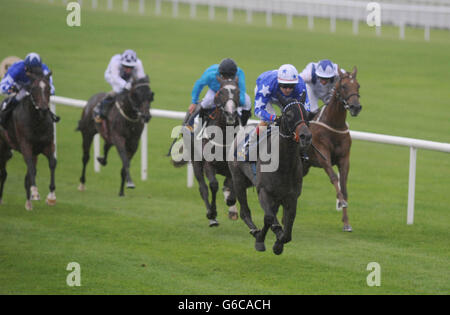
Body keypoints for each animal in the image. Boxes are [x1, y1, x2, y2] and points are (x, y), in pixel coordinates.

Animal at [0, 70, 56, 211]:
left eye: (48, 88)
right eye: (34, 89)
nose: (43, 109)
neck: (37, 122)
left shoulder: (47, 145)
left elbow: (52, 163)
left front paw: (51, 196)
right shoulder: (26, 146)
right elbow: (31, 167)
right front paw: (35, 193)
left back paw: (28, 203)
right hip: (2, 147)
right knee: (3, 173)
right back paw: (1, 198)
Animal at [172, 78, 243, 228]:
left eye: (238, 92)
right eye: (220, 92)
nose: (230, 114)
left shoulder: (232, 167)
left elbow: (231, 186)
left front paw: (231, 206)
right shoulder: (208, 165)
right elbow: (213, 185)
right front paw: (213, 213)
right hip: (196, 164)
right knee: (203, 188)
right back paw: (211, 217)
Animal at [229, 95, 312, 256]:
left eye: (306, 114)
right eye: (288, 114)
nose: (306, 136)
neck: (284, 165)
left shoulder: (291, 197)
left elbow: (287, 231)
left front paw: (278, 243)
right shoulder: (264, 191)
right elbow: (269, 218)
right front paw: (264, 238)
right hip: (238, 179)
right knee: (245, 211)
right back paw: (255, 230)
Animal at [302, 66, 362, 233]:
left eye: (358, 86)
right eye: (344, 86)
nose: (356, 107)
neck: (334, 125)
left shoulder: (345, 159)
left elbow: (344, 185)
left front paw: (346, 222)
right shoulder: (323, 156)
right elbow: (335, 179)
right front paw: (341, 202)